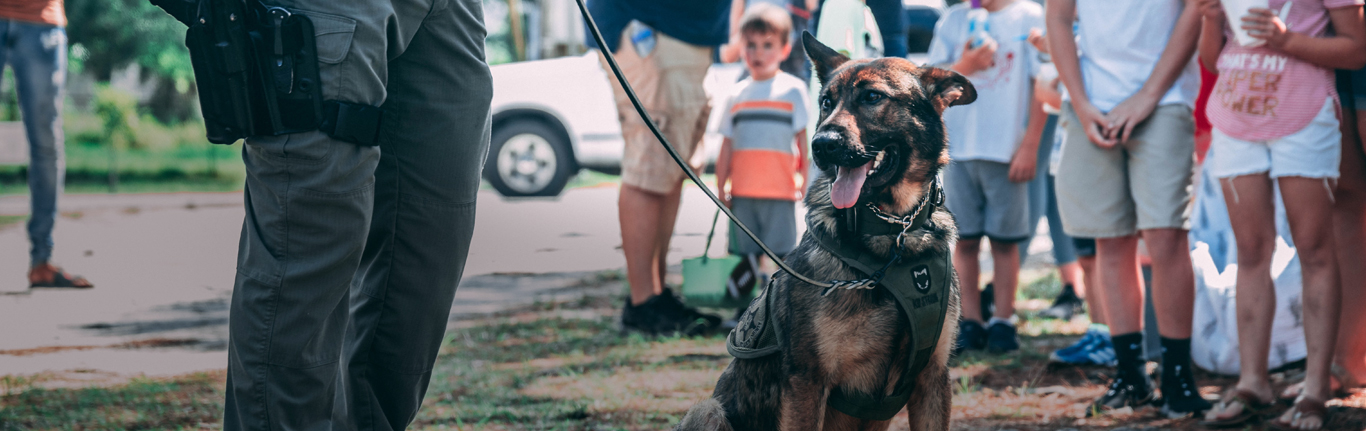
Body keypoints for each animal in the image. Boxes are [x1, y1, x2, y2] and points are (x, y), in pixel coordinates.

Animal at [669, 34, 972, 431]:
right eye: (826, 102)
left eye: (872, 97)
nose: (821, 144)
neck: (893, 235)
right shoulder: (807, 382)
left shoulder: (932, 379)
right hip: (708, 411)